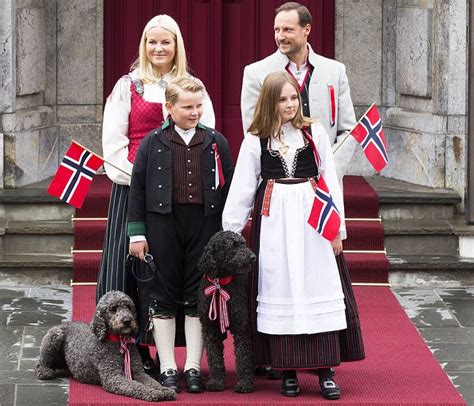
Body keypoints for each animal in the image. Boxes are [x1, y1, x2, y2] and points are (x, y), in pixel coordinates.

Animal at [34, 290, 176, 402]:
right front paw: (154, 393)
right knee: (40, 361)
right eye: (112, 309)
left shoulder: (138, 373)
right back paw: (44, 371)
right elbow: (137, 386)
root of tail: (64, 323)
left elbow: (152, 382)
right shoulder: (113, 377)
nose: (127, 320)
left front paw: (164, 390)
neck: (118, 341)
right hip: (54, 336)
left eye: (128, 307)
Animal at [196, 232, 256, 394]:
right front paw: (216, 382)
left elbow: (243, 357)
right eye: (232, 245)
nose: (253, 257)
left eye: (243, 243)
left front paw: (244, 383)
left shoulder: (242, 328)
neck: (221, 284)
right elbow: (214, 357)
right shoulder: (210, 330)